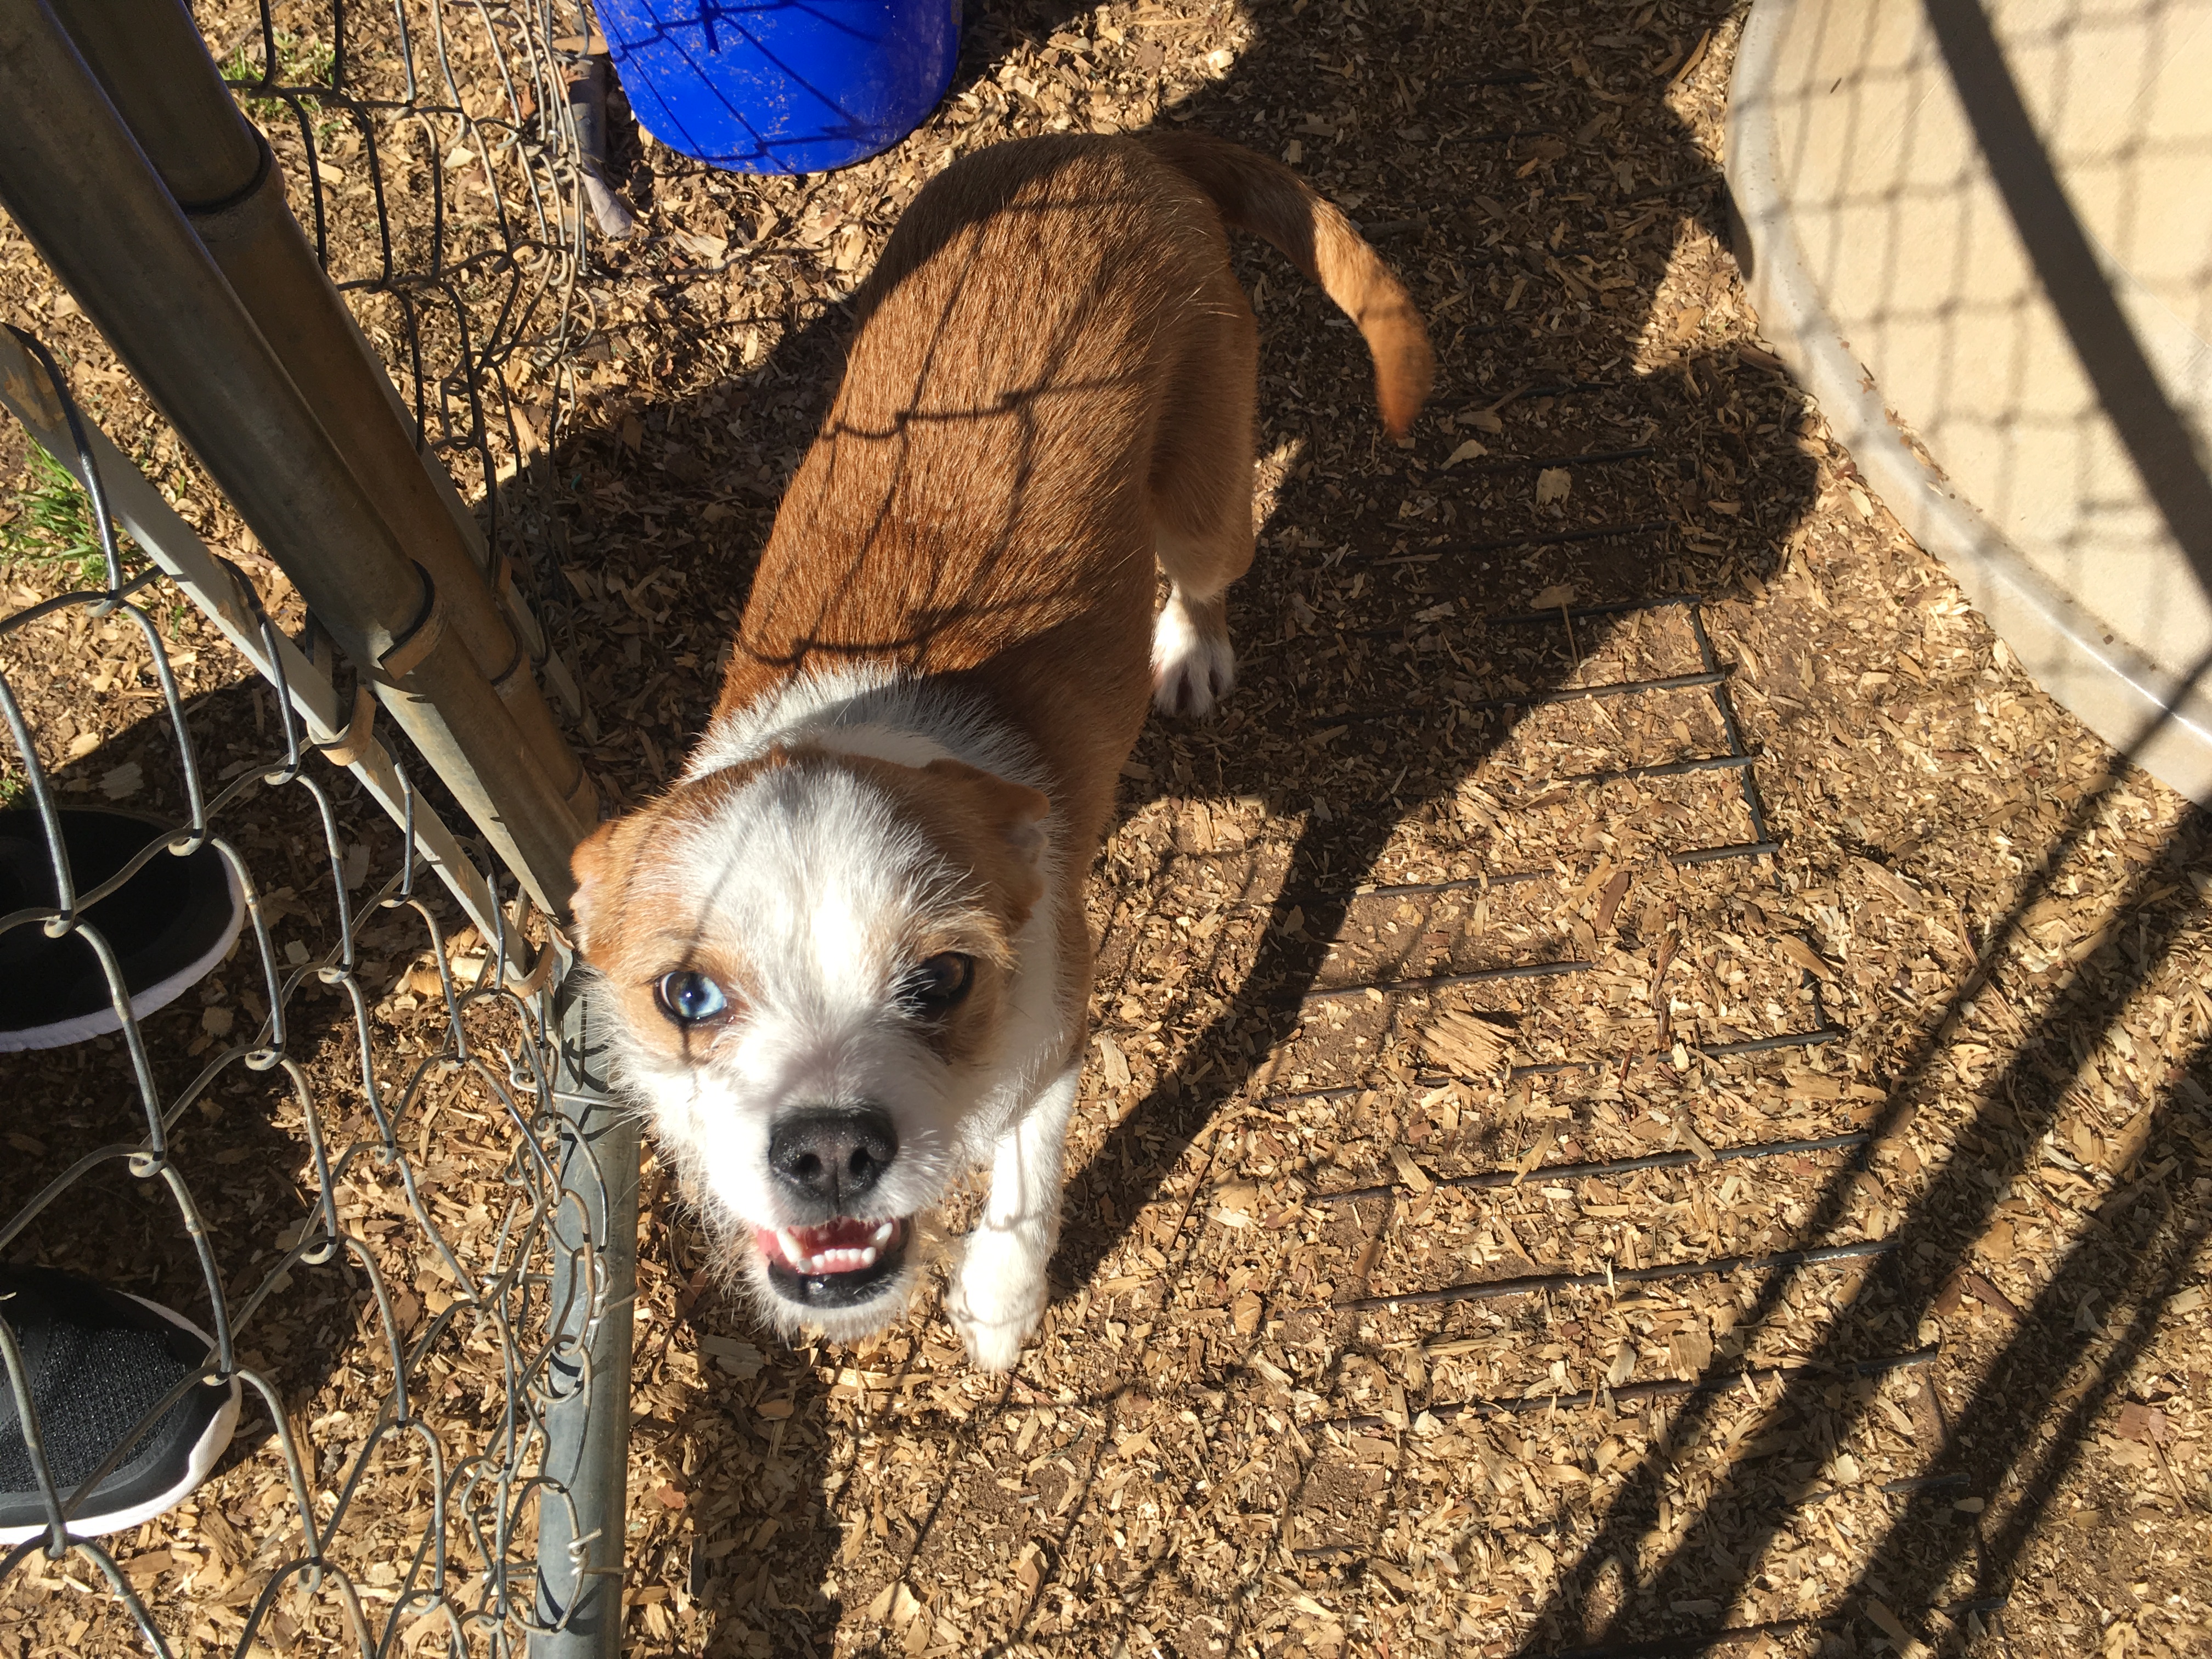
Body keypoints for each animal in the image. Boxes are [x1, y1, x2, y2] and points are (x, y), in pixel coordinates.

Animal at [571, 129, 1433, 1371]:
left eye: (942, 978)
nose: (829, 1149)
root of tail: (1120, 145)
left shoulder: (1056, 1031)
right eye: (686, 994)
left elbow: (1023, 1185)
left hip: (1209, 501)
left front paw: (1000, 1301)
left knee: (1206, 575)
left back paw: (1191, 653)